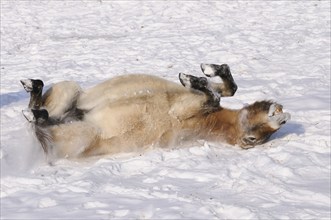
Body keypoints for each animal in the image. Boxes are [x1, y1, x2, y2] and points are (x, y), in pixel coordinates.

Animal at [22, 64, 290, 160]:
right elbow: (227, 89)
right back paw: (34, 90)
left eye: (253, 139)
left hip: (84, 133)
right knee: (39, 110)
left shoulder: (185, 109)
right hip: (70, 89)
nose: (282, 116)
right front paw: (205, 71)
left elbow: (214, 94)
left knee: (40, 124)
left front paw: (194, 77)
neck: (210, 121)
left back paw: (38, 114)